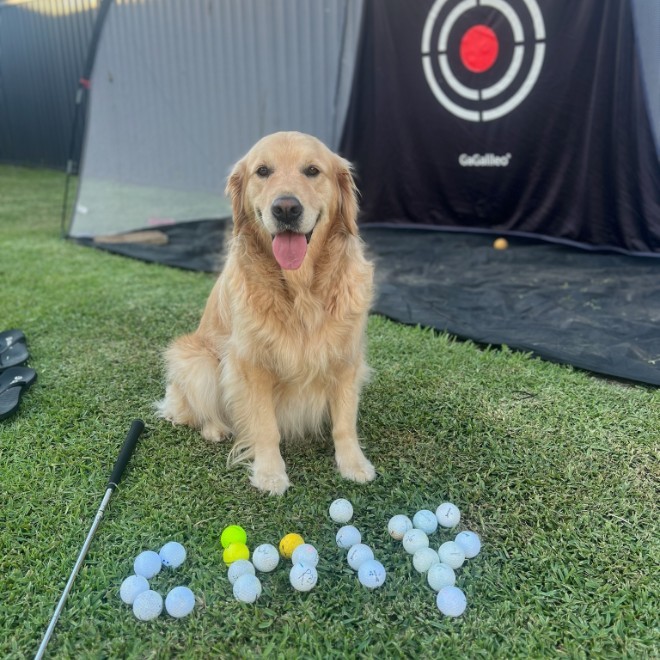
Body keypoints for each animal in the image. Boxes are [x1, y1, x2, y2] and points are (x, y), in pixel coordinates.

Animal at [157, 132, 375, 494]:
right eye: (262, 171)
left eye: (312, 170)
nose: (286, 208)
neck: (301, 289)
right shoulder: (251, 365)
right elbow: (265, 427)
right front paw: (270, 473)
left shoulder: (346, 358)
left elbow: (344, 422)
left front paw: (353, 464)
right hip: (196, 359)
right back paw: (215, 428)